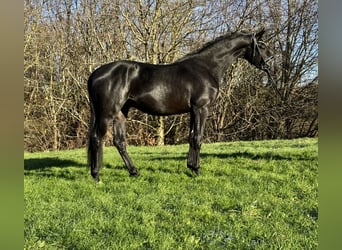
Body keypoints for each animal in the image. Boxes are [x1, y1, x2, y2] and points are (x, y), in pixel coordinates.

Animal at [87, 28, 274, 182]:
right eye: (262, 45)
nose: (270, 62)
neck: (207, 67)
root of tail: (95, 74)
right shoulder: (201, 108)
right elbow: (198, 138)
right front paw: (197, 170)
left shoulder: (193, 111)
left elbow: (191, 137)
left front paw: (190, 166)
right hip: (106, 113)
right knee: (97, 138)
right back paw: (96, 176)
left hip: (120, 113)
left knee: (119, 142)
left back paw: (134, 172)